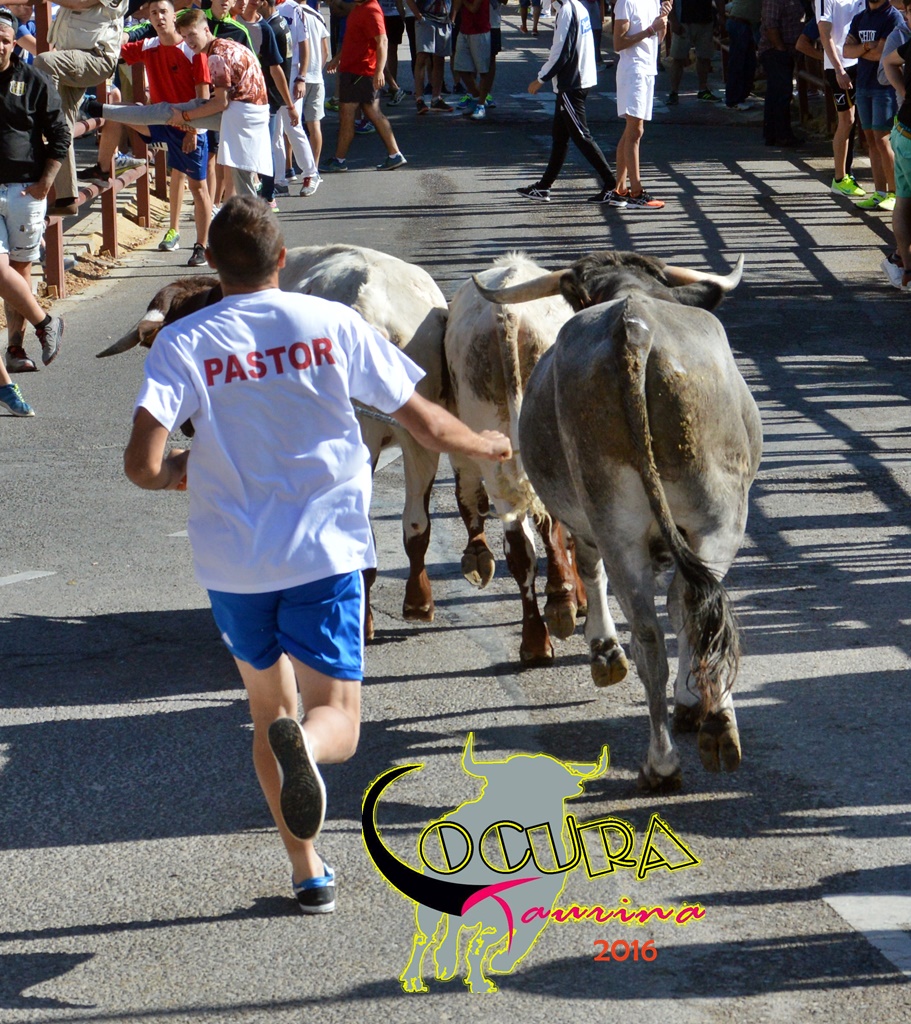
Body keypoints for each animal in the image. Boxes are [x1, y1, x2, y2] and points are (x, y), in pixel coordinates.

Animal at [362, 733, 610, 993]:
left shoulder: (536, 903)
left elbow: (513, 937)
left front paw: (498, 964)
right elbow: (478, 944)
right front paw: (480, 979)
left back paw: (446, 964)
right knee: (426, 937)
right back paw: (415, 979)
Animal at [473, 251, 762, 792]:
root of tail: (634, 330)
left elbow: (594, 572)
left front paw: (605, 651)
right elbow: (679, 604)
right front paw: (690, 701)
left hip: (623, 524)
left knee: (652, 631)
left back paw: (666, 757)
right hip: (718, 519)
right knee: (693, 610)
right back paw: (708, 732)